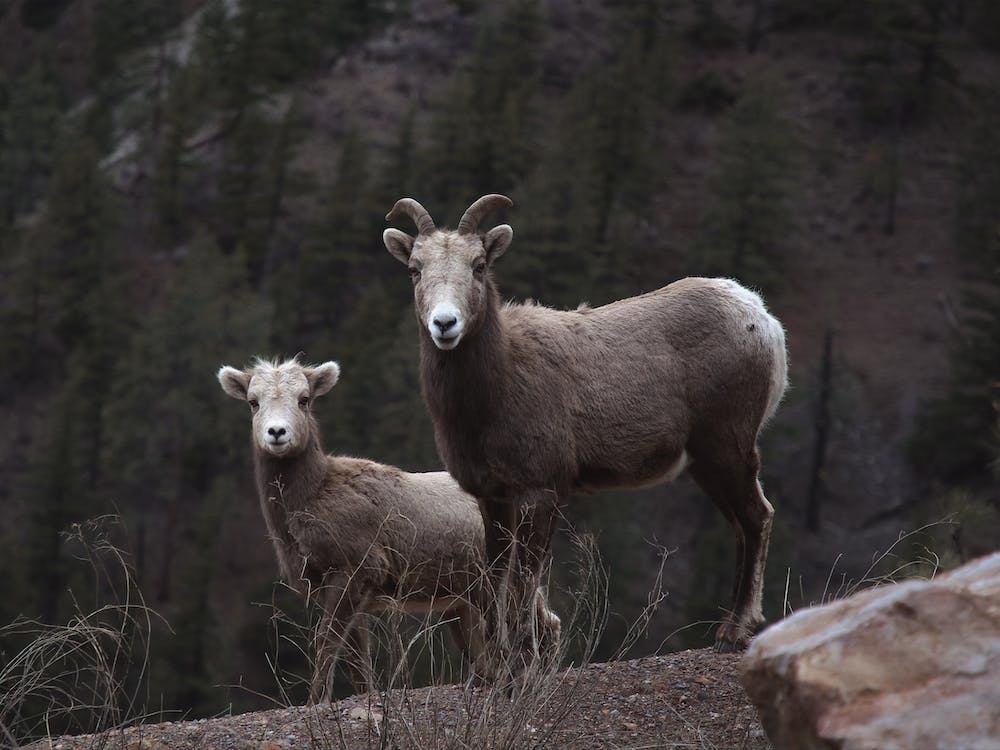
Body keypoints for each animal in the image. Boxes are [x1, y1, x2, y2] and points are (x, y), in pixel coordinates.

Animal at [217, 356, 560, 703]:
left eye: (304, 399)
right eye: (253, 402)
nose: (277, 432)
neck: (309, 502)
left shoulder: (356, 569)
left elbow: (327, 641)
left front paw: (316, 700)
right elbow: (357, 660)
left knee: (541, 624)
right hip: (462, 601)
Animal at [382, 194, 788, 657]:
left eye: (479, 264)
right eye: (415, 269)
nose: (445, 324)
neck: (496, 387)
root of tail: (761, 319)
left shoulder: (541, 493)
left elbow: (524, 580)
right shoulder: (492, 497)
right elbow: (496, 576)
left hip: (726, 448)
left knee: (756, 518)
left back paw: (733, 632)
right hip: (708, 464)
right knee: (742, 524)